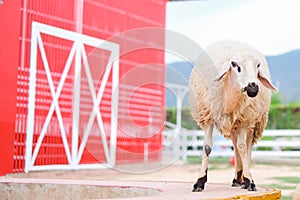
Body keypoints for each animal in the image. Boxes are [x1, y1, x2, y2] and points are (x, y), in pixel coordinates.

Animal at [190, 40, 276, 192]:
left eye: (258, 65)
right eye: (235, 65)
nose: (253, 86)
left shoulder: (244, 120)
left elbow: (243, 148)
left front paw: (249, 181)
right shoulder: (208, 118)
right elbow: (207, 147)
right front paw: (200, 182)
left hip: (253, 122)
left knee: (246, 147)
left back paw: (245, 178)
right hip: (233, 126)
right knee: (236, 147)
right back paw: (237, 179)